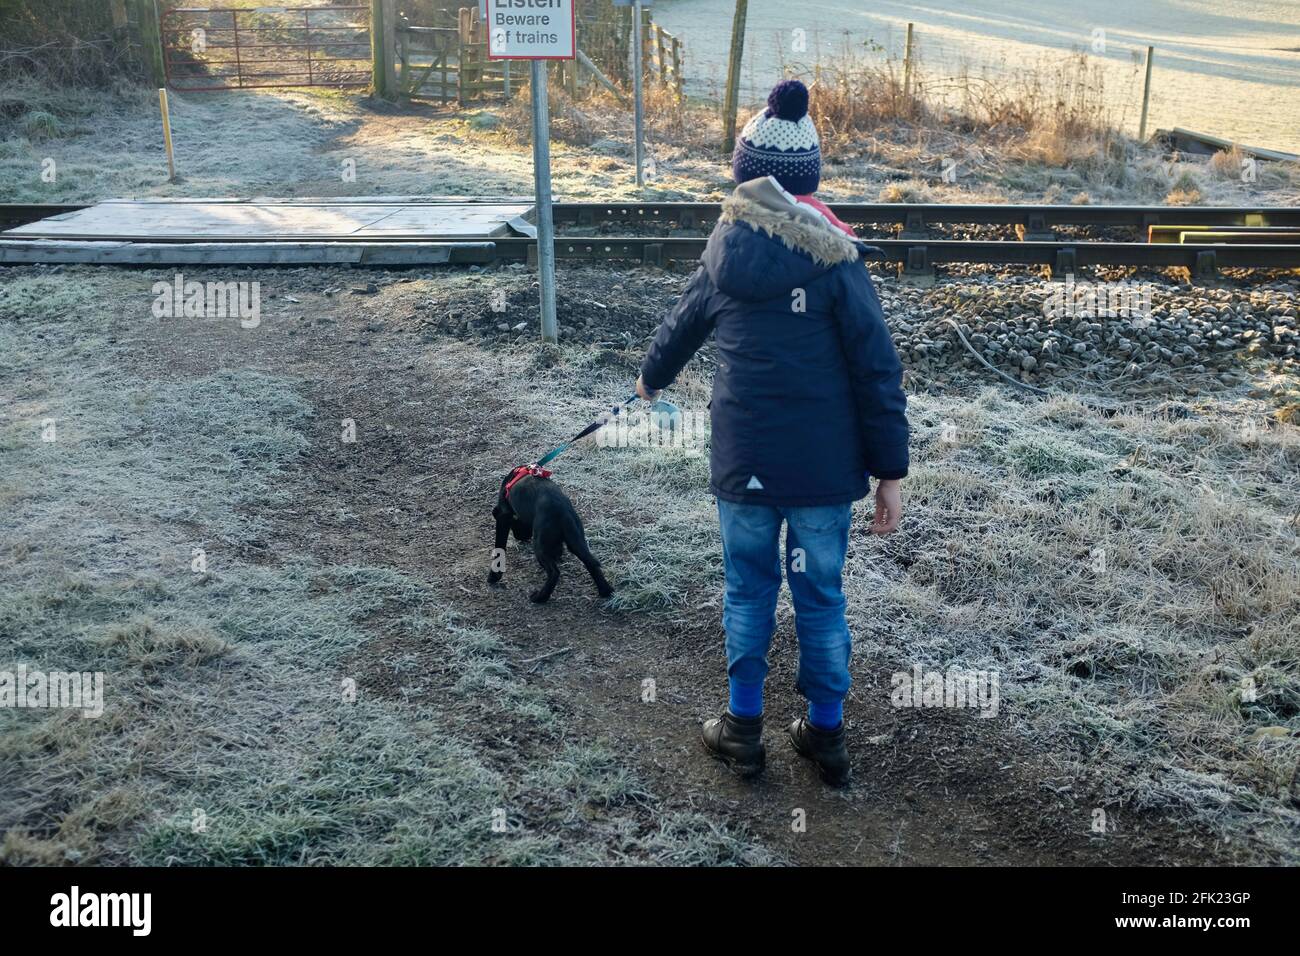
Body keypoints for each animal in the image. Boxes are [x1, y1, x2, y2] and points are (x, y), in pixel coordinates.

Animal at [488, 465, 613, 606]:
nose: (522, 537)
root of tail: (562, 512)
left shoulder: (503, 517)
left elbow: (500, 546)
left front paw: (494, 575)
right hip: (576, 539)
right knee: (591, 563)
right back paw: (605, 591)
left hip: (539, 544)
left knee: (554, 572)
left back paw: (540, 597)